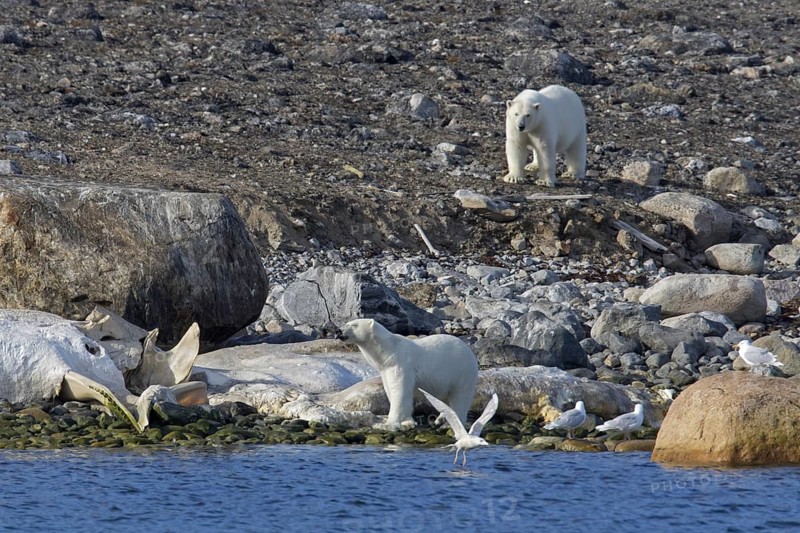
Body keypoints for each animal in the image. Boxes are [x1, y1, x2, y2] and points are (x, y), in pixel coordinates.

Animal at [338, 318, 478, 431]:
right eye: (346, 323)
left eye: (354, 325)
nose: (339, 331)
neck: (388, 352)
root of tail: (470, 352)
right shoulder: (385, 370)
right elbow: (390, 390)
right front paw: (407, 422)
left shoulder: (401, 364)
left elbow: (399, 391)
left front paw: (386, 424)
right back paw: (440, 418)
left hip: (461, 371)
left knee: (460, 397)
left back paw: (451, 423)